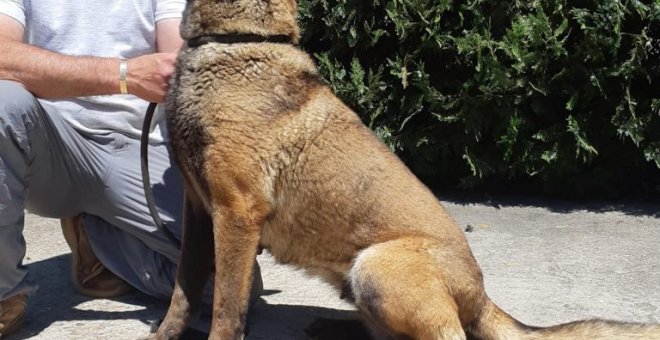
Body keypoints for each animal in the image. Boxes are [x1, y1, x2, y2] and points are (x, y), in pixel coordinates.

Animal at [148, 0, 660, 338]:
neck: (239, 41)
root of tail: (481, 298)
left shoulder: (236, 215)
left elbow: (225, 307)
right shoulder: (201, 213)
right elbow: (183, 292)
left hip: (378, 267)